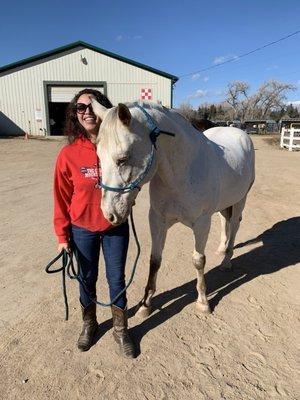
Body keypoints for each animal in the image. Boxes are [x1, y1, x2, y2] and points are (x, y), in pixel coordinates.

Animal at [92, 101, 255, 318]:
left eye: (123, 159)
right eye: (99, 157)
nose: (109, 214)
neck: (181, 174)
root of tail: (239, 132)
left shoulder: (202, 223)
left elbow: (198, 261)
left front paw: (203, 302)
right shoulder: (157, 220)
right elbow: (155, 260)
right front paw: (145, 304)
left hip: (240, 200)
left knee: (235, 225)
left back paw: (227, 260)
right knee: (224, 220)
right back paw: (221, 248)